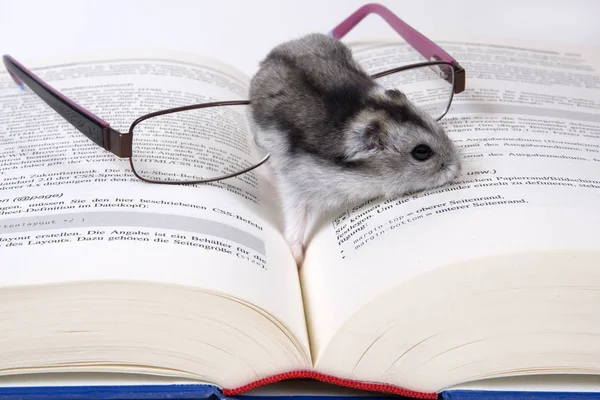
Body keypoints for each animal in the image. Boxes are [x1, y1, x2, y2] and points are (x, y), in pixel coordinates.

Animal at [246, 32, 462, 268]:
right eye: (421, 152)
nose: (459, 169)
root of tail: (270, 56)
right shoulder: (296, 187)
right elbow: (295, 219)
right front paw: (298, 260)